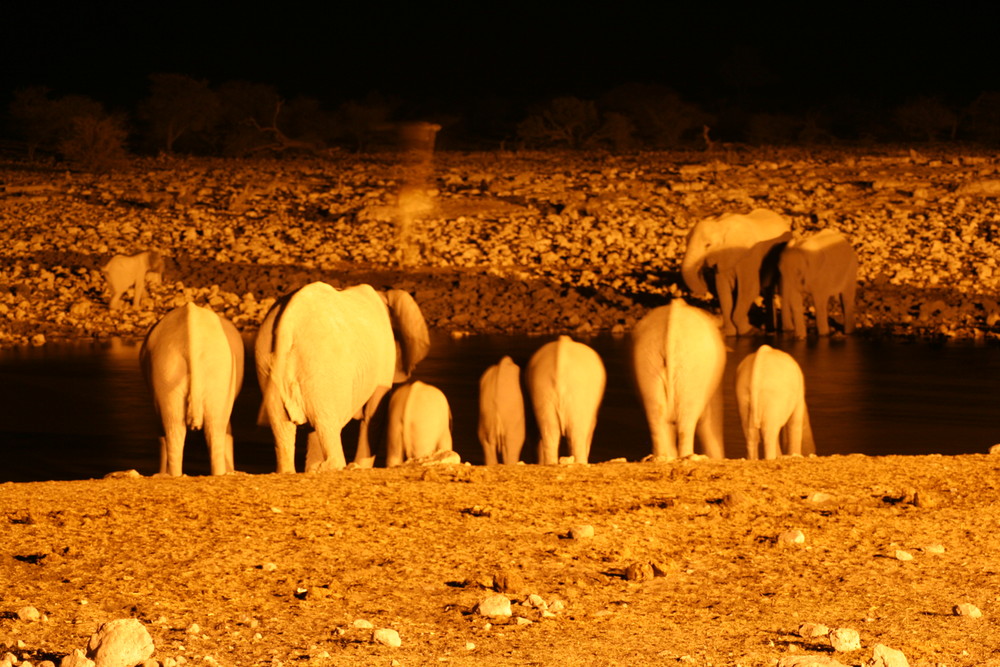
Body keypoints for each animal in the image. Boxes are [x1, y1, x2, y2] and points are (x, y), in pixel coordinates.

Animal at [254, 282, 430, 474]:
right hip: (323, 370)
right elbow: (374, 416)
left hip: (268, 362)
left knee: (284, 427)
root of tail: (288, 324)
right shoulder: (384, 360)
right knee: (328, 425)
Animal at [632, 302, 728, 462]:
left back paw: (662, 458)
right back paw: (687, 457)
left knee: (656, 415)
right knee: (686, 422)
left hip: (647, 362)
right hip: (693, 370)